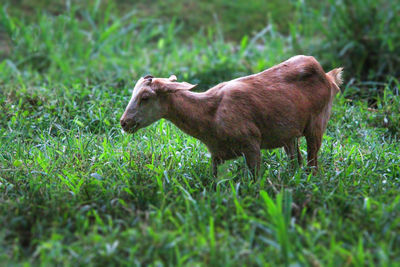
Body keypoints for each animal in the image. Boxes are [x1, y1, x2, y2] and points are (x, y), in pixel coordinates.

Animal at [120, 55, 342, 179]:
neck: (210, 113)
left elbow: (255, 179)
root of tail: (329, 77)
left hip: (317, 123)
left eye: (145, 97)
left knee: (312, 162)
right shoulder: (216, 154)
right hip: (289, 134)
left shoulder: (251, 144)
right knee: (296, 160)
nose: (124, 123)